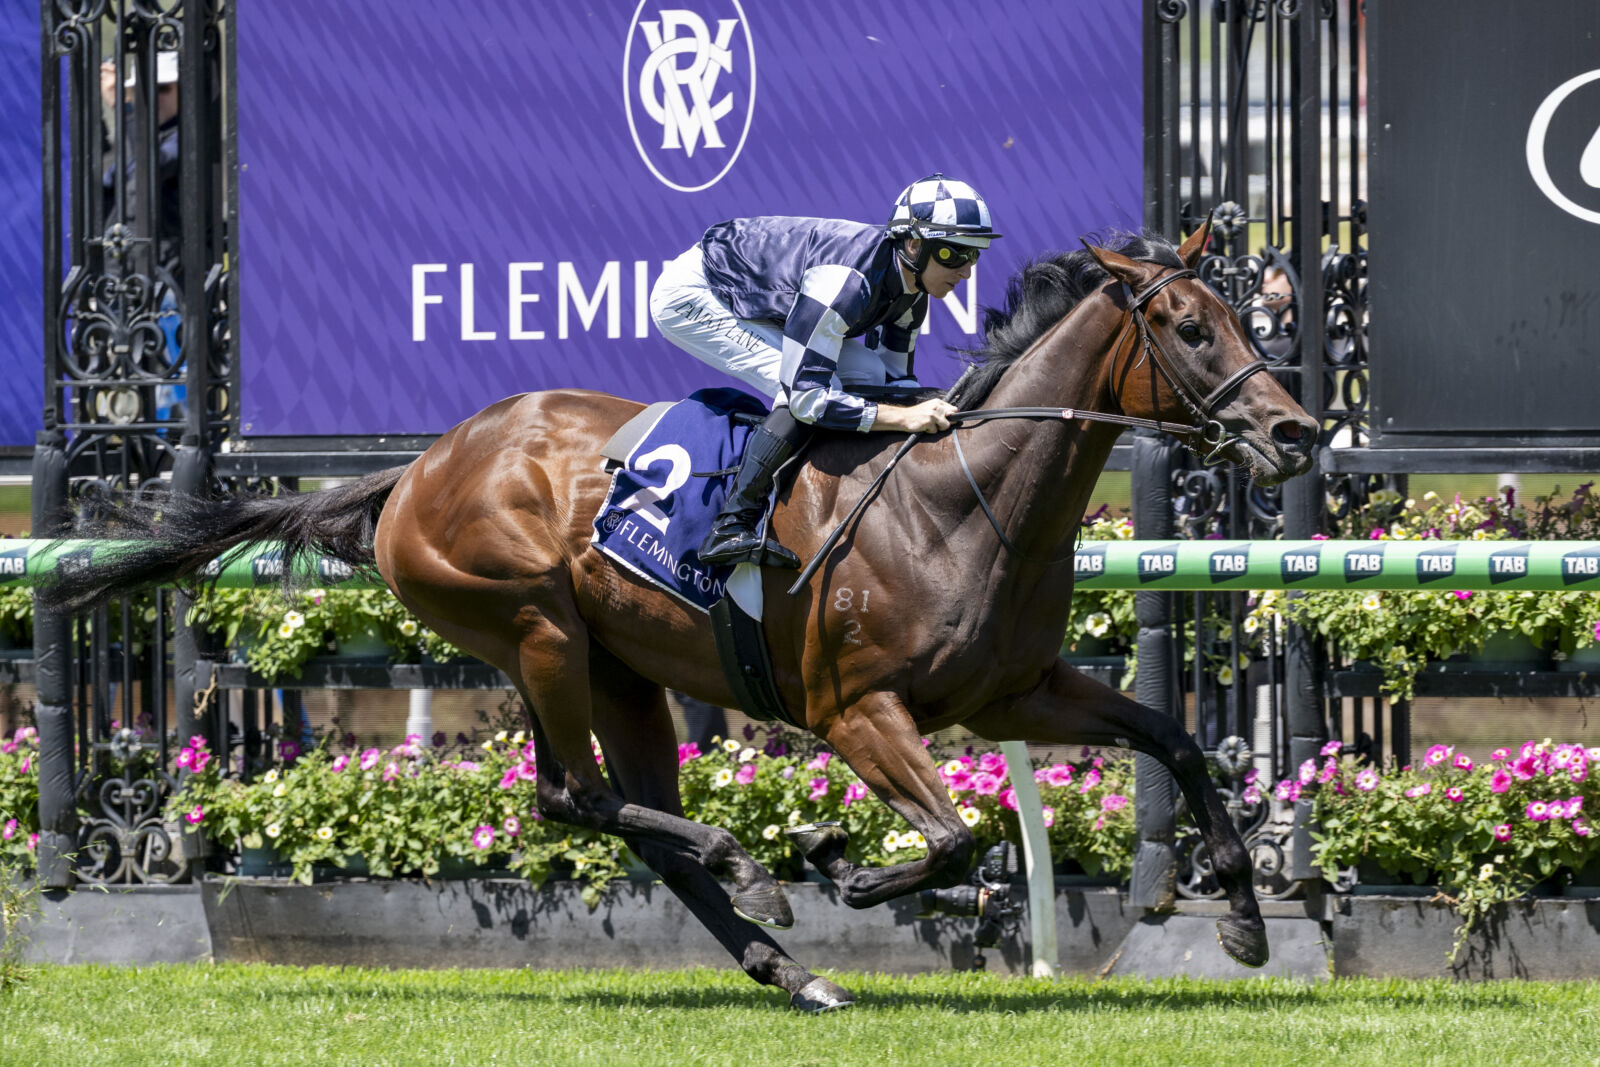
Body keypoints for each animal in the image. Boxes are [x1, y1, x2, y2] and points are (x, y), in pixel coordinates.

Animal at [45, 222, 1316, 1010]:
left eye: (1241, 316)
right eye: (1191, 328)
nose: (1296, 430)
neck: (962, 497)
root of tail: (414, 469)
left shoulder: (1019, 690)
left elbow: (1174, 741)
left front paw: (1244, 918)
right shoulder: (854, 707)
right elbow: (956, 833)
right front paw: (843, 863)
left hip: (622, 666)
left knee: (631, 811)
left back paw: (787, 962)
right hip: (535, 627)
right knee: (574, 796)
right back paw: (755, 865)